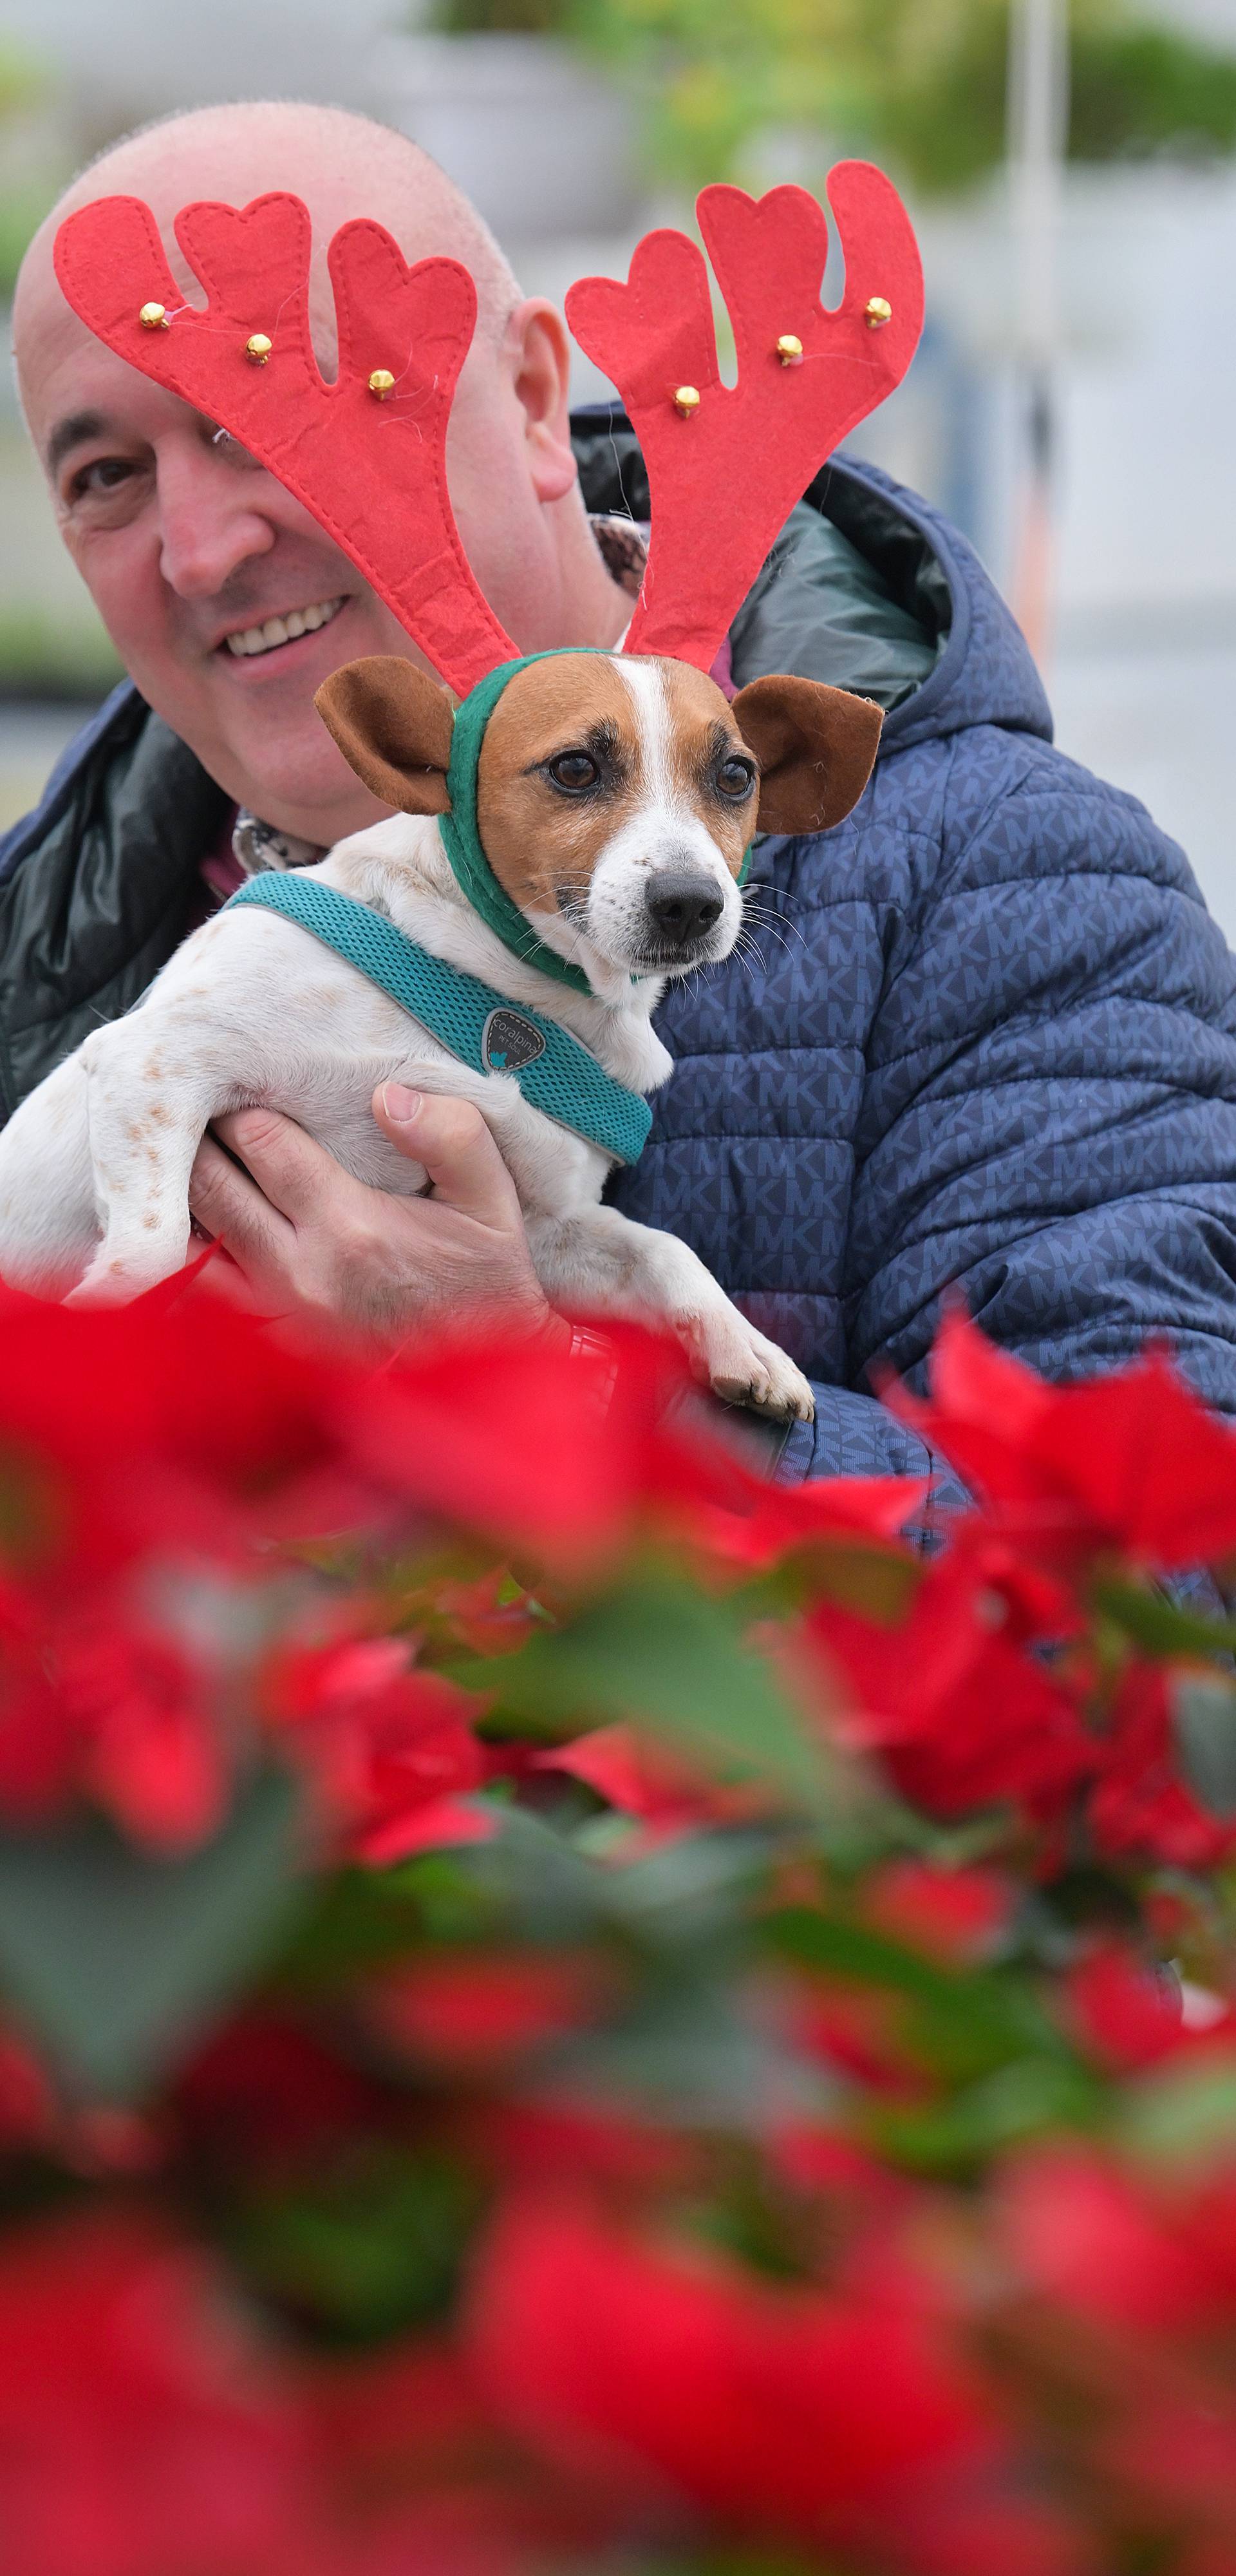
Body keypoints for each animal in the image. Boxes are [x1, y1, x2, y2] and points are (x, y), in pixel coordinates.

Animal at [0, 639, 881, 1412]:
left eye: (735, 776)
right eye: (575, 768)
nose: (692, 902)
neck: (497, 1001)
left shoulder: (540, 1230)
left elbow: (662, 1248)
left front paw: (745, 1344)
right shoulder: (155, 1058)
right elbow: (152, 1252)